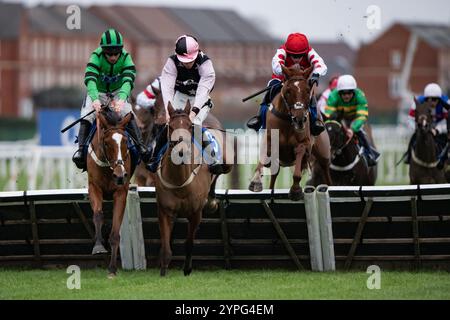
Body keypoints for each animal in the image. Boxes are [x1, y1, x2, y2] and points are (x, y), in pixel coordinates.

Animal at [87, 108, 134, 278]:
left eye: (125, 141)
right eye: (107, 143)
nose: (120, 175)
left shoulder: (120, 192)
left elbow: (115, 232)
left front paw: (112, 268)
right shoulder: (94, 187)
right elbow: (98, 215)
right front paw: (98, 246)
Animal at [156, 101, 232, 276]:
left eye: (189, 126)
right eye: (170, 126)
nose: (181, 151)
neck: (179, 182)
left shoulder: (196, 213)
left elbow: (189, 242)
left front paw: (187, 269)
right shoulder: (164, 211)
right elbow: (166, 245)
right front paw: (163, 270)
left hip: (228, 161)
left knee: (219, 173)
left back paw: (211, 200)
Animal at [248, 64, 332, 200]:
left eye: (307, 91)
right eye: (288, 91)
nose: (299, 119)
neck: (287, 121)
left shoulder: (303, 143)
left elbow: (298, 165)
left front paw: (296, 190)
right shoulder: (269, 140)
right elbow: (264, 157)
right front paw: (255, 181)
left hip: (324, 152)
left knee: (326, 170)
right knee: (274, 174)